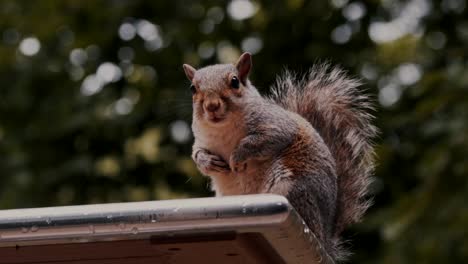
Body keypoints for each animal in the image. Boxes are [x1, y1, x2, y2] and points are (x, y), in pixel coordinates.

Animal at [183, 52, 376, 262]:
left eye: (234, 82)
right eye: (193, 88)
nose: (211, 106)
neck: (222, 129)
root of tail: (324, 238)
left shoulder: (276, 127)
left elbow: (260, 141)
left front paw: (237, 157)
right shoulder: (201, 142)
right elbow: (197, 154)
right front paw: (209, 162)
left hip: (291, 188)